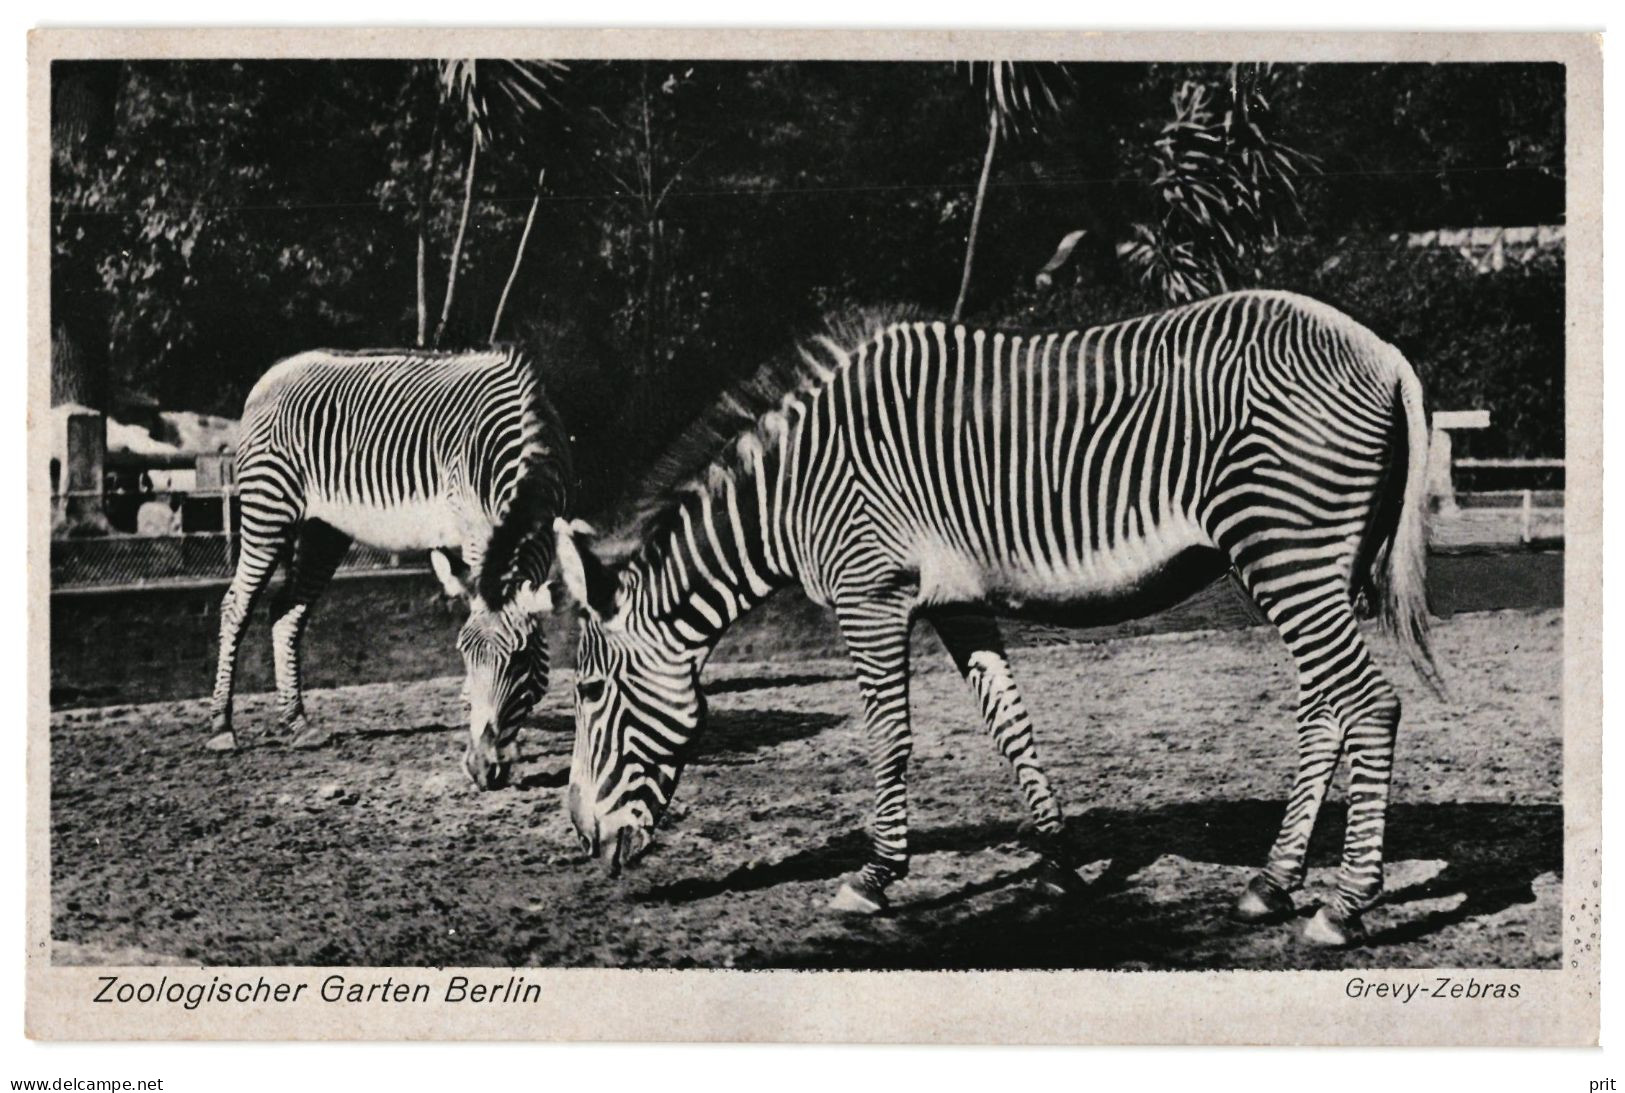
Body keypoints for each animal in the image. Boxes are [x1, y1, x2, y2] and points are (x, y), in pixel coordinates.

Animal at [208, 345, 572, 789]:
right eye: (464, 654)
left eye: (521, 660)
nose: (480, 769)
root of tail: (275, 371)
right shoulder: (472, 525)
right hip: (268, 508)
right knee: (236, 607)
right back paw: (222, 728)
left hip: (323, 529)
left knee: (286, 612)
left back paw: (298, 724)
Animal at [555, 292, 1436, 948]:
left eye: (589, 691)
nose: (584, 839)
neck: (791, 488)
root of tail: (1381, 349)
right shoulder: (959, 602)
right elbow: (1009, 723)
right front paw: (1058, 863)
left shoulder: (869, 592)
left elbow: (889, 737)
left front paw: (873, 877)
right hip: (1295, 563)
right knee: (1323, 709)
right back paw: (1269, 883)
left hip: (1286, 548)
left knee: (1369, 704)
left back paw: (1342, 904)